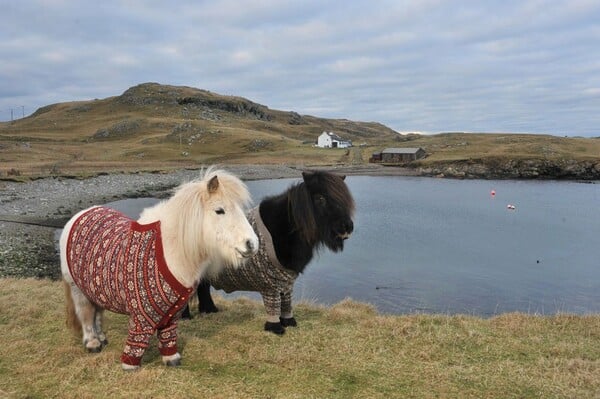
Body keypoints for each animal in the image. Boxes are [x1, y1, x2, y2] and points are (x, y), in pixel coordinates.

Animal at [59, 169, 258, 372]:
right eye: (219, 210)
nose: (251, 244)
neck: (168, 251)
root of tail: (78, 216)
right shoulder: (140, 315)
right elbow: (138, 339)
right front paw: (130, 366)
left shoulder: (172, 313)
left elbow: (168, 336)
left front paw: (171, 359)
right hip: (78, 289)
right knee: (86, 314)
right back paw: (93, 343)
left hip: (95, 289)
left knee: (97, 313)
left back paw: (102, 338)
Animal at [180, 170, 354, 334]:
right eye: (320, 198)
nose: (347, 227)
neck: (283, 229)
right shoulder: (271, 284)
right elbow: (274, 306)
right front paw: (275, 328)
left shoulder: (286, 282)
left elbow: (286, 303)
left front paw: (289, 322)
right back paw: (186, 317)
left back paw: (210, 310)